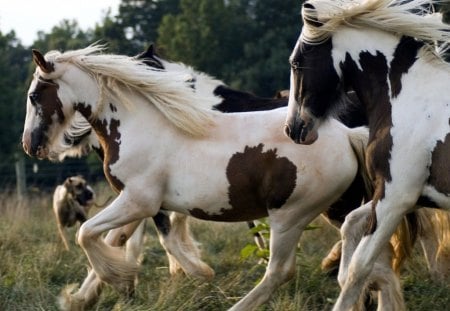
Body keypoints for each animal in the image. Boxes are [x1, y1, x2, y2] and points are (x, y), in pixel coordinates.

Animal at [21, 45, 372, 311]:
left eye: (34, 95)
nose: (30, 144)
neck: (140, 124)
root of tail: (348, 135)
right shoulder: (145, 204)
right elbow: (127, 237)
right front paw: (87, 296)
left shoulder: (139, 201)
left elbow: (89, 234)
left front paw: (187, 273)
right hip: (327, 210)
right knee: (359, 244)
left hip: (291, 215)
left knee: (281, 271)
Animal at [284, 0, 450, 310]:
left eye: (296, 62)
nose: (293, 129)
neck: (410, 99)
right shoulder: (406, 196)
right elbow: (350, 225)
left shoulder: (396, 198)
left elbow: (358, 267)